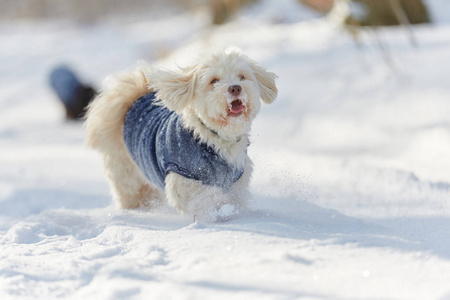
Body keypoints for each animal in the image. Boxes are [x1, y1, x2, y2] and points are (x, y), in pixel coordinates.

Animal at [82, 47, 276, 223]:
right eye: (214, 81)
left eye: (241, 77)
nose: (235, 88)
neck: (212, 137)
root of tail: (134, 98)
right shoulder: (184, 177)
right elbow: (204, 197)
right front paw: (215, 212)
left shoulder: (238, 179)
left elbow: (235, 197)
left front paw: (232, 212)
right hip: (127, 174)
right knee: (131, 193)